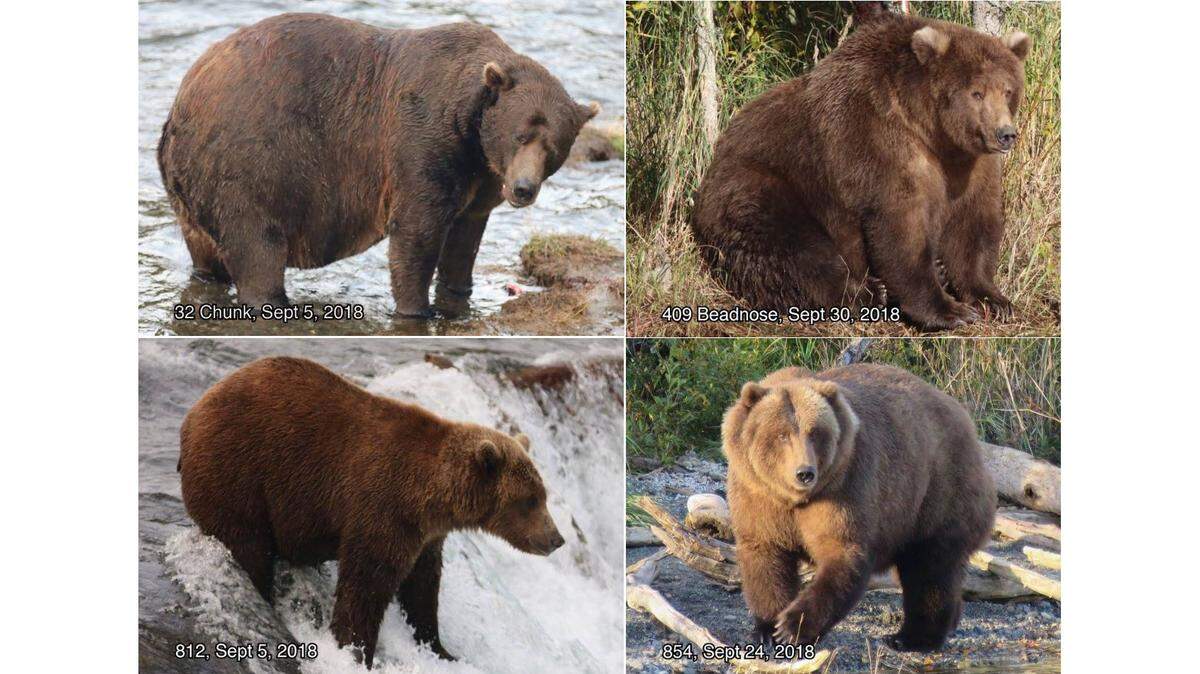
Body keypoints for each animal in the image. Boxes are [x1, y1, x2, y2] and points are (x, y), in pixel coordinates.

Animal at [157, 13, 598, 317]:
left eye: (554, 146)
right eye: (520, 135)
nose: (523, 188)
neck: (471, 134)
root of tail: (183, 96)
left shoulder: (478, 181)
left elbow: (464, 240)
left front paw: (457, 294)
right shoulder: (422, 146)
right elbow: (417, 233)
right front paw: (417, 308)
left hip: (192, 191)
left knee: (205, 253)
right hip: (252, 165)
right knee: (257, 248)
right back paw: (273, 300)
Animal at [177, 356, 565, 668]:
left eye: (543, 495)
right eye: (530, 500)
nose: (556, 539)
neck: (432, 495)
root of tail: (193, 413)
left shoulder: (426, 534)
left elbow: (422, 586)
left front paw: (440, 649)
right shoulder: (383, 507)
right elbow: (367, 583)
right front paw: (355, 650)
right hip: (237, 471)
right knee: (249, 547)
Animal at [691, 13, 1031, 330]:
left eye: (1007, 90)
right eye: (977, 93)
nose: (1005, 134)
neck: (932, 132)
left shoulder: (970, 165)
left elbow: (973, 224)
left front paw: (992, 299)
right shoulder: (877, 140)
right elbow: (900, 225)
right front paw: (949, 310)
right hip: (763, 187)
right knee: (794, 249)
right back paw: (868, 293)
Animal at [721, 363, 995, 652]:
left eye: (815, 432)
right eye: (782, 434)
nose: (804, 473)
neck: (794, 499)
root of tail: (966, 421)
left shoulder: (845, 486)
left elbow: (843, 552)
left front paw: (791, 626)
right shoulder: (758, 496)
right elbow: (765, 556)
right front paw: (767, 629)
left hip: (937, 492)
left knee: (930, 568)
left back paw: (910, 637)